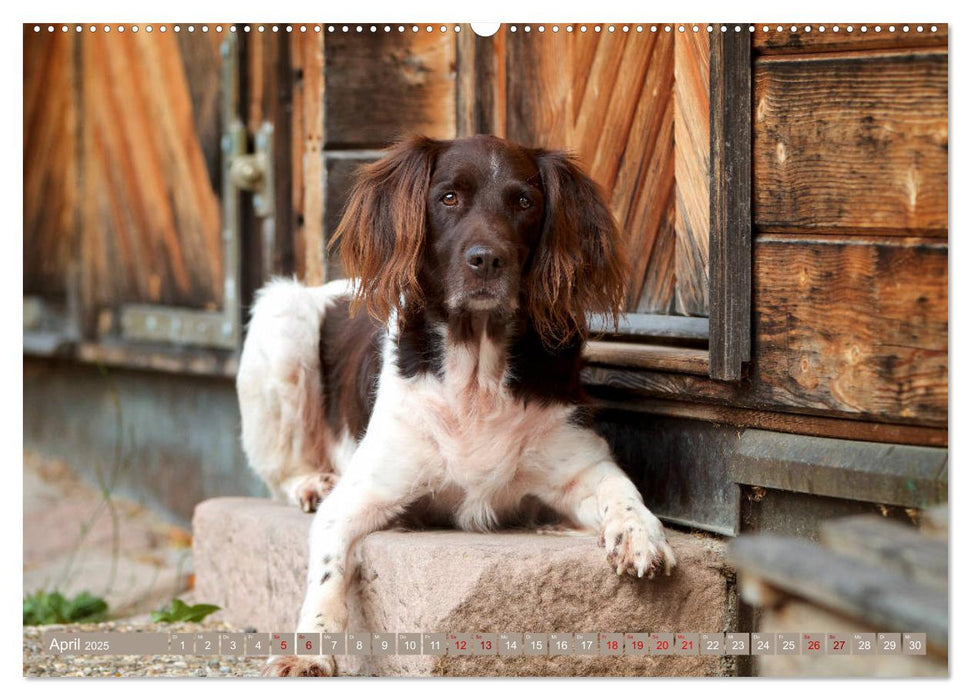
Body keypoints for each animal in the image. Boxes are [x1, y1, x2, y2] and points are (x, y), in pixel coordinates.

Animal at [235, 134, 676, 676]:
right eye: (448, 198)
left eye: (524, 202)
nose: (487, 260)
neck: (476, 374)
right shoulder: (364, 494)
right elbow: (327, 569)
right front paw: (310, 650)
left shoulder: (579, 462)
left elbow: (621, 488)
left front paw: (639, 533)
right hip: (282, 317)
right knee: (280, 472)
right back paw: (312, 483)